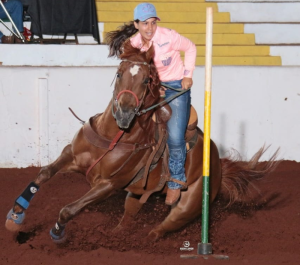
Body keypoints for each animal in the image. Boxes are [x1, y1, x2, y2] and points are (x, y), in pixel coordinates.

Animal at [5, 41, 278, 241]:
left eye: (146, 80)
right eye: (118, 74)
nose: (124, 113)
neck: (112, 138)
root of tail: (218, 161)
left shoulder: (109, 185)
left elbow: (69, 208)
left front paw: (57, 232)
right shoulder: (71, 155)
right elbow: (43, 174)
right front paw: (16, 215)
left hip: (188, 206)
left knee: (158, 231)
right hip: (135, 197)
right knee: (127, 219)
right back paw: (116, 236)